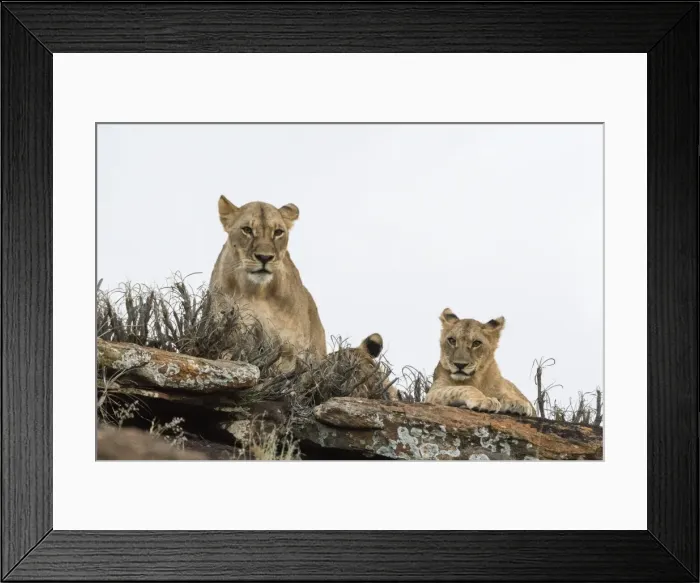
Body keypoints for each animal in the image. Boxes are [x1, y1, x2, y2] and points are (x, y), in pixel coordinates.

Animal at [209, 197, 326, 371]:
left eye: (278, 232)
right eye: (247, 229)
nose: (264, 257)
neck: (258, 292)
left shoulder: (289, 347)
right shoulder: (231, 335)